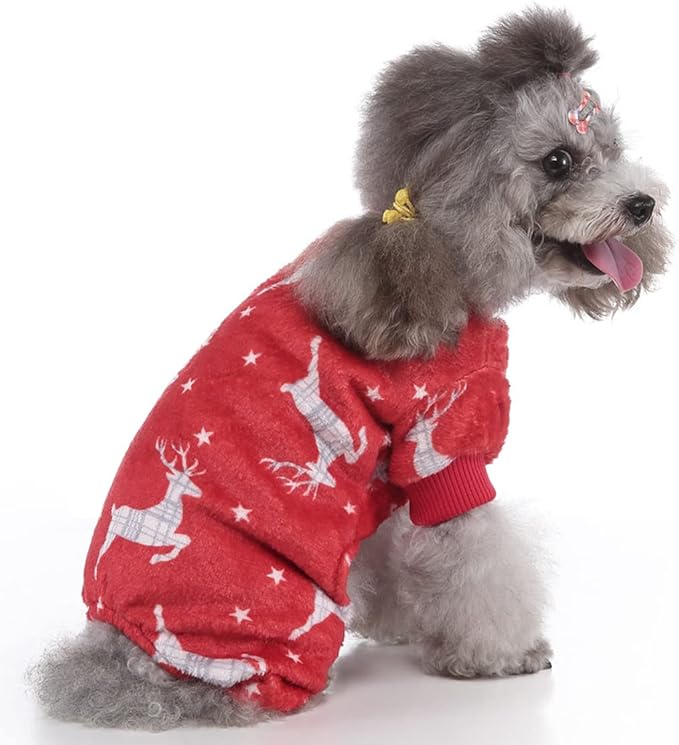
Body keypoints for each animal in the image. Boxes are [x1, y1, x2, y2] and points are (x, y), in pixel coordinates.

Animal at [93, 438, 205, 579]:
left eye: (190, 479)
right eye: (186, 482)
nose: (200, 492)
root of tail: (115, 511)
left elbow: (186, 540)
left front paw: (157, 557)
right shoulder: (162, 538)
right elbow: (185, 541)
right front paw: (157, 558)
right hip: (110, 533)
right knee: (101, 550)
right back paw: (96, 574)